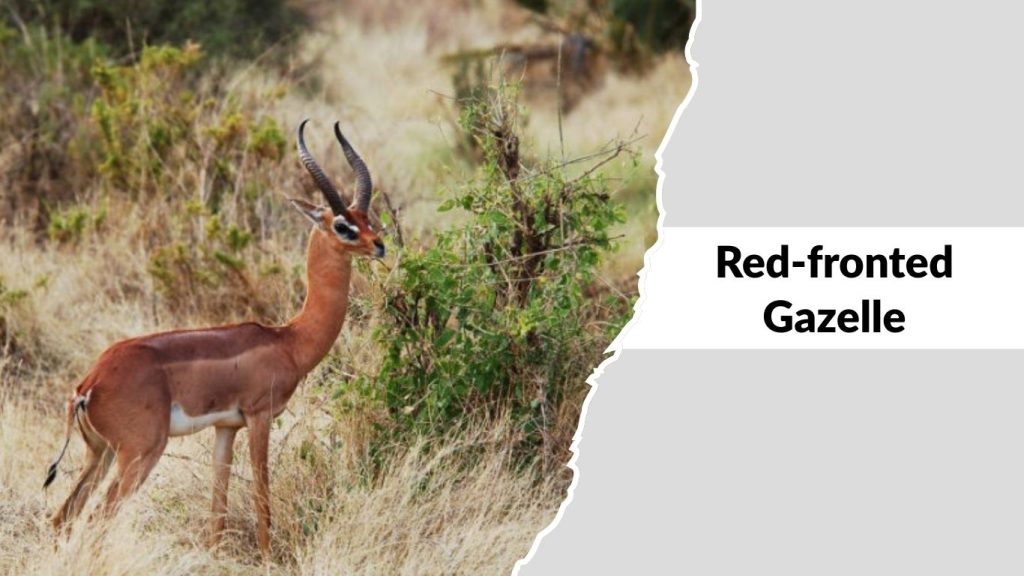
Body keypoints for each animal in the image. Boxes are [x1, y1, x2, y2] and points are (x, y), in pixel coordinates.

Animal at [43, 119, 384, 560]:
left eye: (366, 217)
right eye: (343, 225)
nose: (380, 245)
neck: (288, 340)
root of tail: (88, 384)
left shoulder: (226, 428)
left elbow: (217, 507)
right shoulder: (259, 417)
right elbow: (262, 495)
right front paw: (268, 558)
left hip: (98, 453)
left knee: (63, 518)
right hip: (140, 452)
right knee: (96, 521)